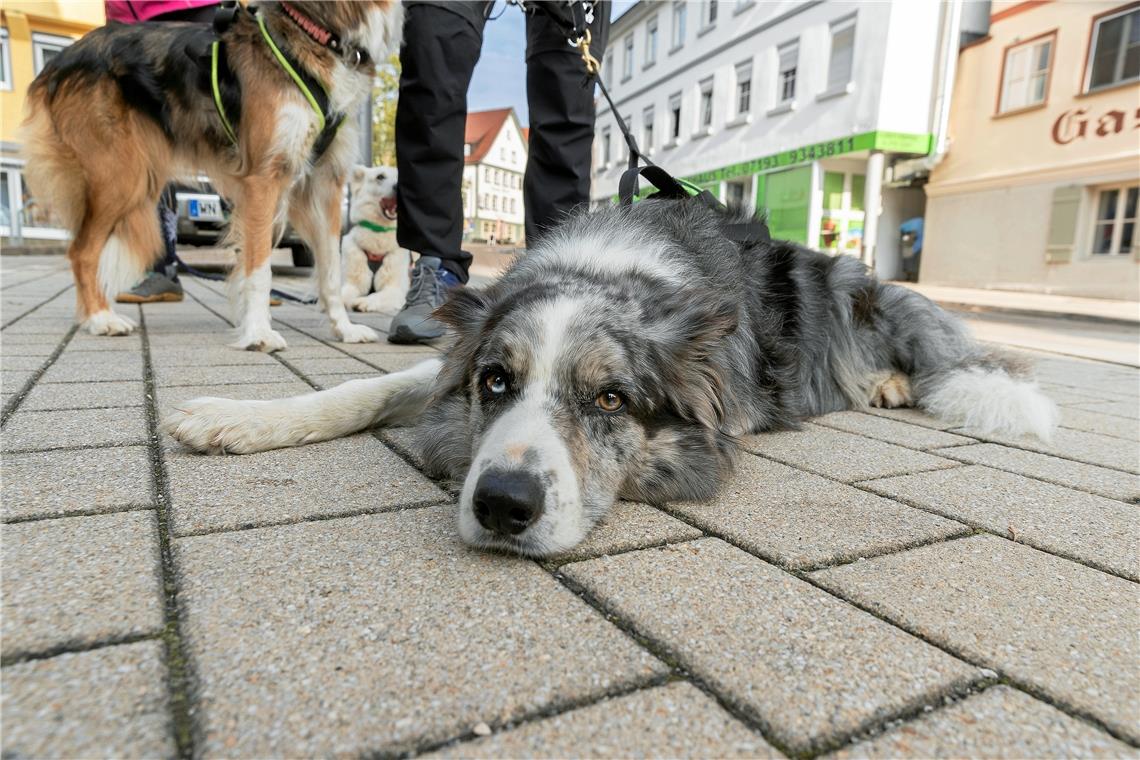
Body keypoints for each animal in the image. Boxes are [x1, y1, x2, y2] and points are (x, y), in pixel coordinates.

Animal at [21, 0, 405, 350]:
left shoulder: (324, 182)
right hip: (121, 176)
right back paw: (100, 318)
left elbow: (330, 269)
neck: (317, 29)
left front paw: (344, 329)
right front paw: (259, 333)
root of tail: (57, 60)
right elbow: (259, 269)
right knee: (82, 252)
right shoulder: (263, 179)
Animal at [165, 199, 1053, 556]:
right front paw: (235, 417)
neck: (608, 269)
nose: (503, 506)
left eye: (611, 399)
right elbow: (366, 388)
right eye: (495, 383)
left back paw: (895, 382)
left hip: (852, 292)